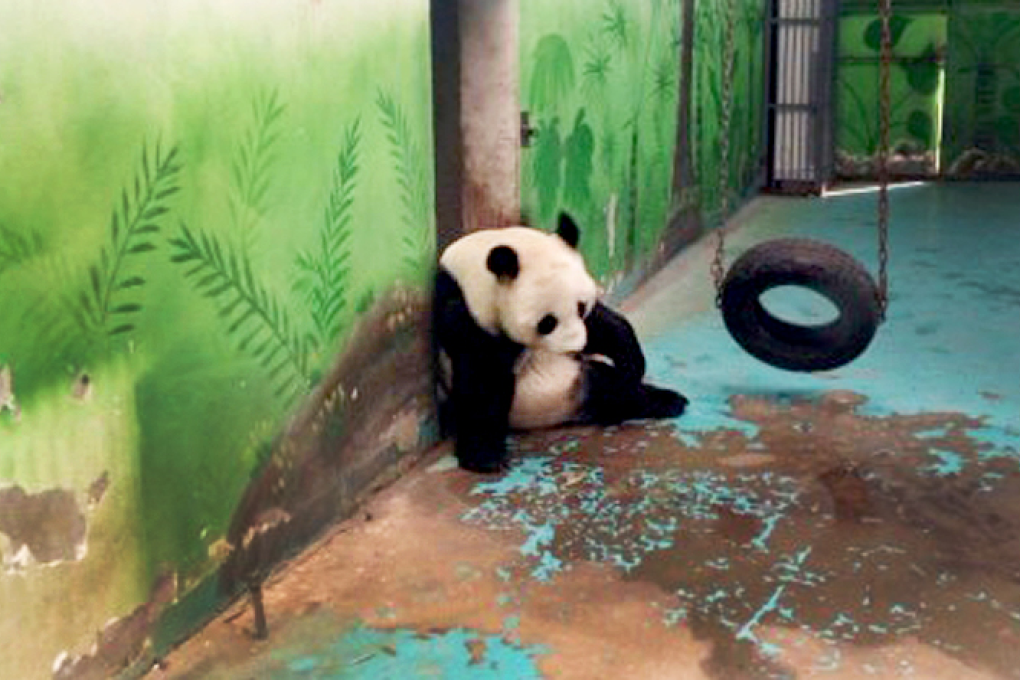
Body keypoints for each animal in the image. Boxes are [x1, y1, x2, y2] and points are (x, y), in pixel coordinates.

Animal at [434, 213, 687, 473]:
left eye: (580, 307)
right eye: (547, 322)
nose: (574, 348)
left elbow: (603, 326)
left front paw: (631, 362)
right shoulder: (468, 315)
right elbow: (483, 381)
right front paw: (484, 456)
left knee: (614, 388)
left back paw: (666, 400)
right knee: (608, 390)